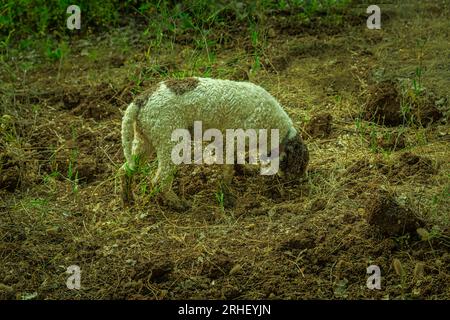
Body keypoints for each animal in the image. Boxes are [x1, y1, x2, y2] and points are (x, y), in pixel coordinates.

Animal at [119, 77, 310, 210]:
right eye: (300, 166)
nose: (303, 181)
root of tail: (140, 100)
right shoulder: (234, 140)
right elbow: (228, 171)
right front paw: (228, 196)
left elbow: (236, 160)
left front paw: (245, 170)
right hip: (170, 142)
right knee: (160, 179)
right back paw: (177, 203)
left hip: (145, 141)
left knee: (125, 171)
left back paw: (128, 200)